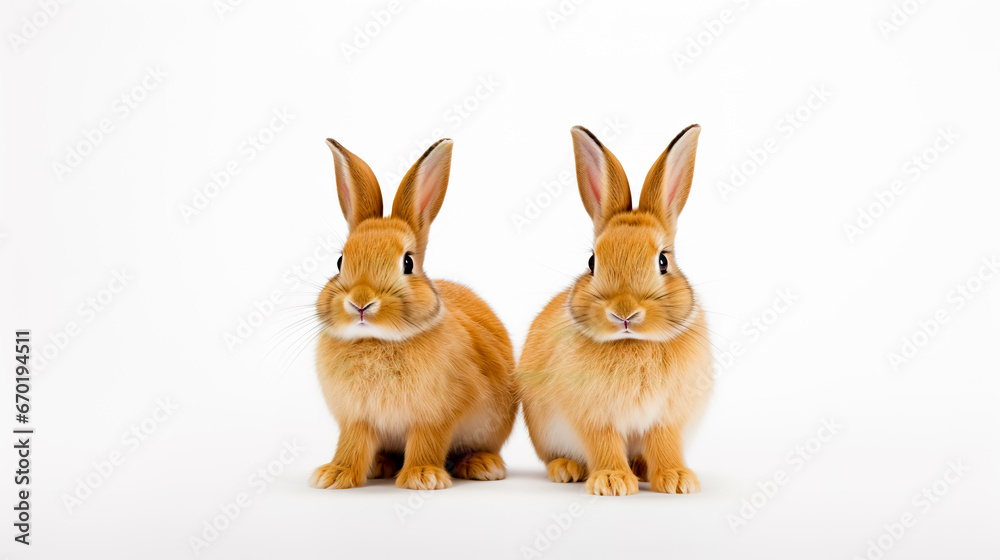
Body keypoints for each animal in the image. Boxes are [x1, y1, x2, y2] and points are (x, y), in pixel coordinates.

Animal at [309, 137, 517, 491]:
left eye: (407, 262)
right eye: (340, 261)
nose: (361, 302)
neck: (377, 340)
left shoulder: (435, 416)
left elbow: (426, 442)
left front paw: (423, 477)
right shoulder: (357, 418)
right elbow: (351, 444)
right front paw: (334, 475)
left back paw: (481, 465)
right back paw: (379, 464)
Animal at [515, 125, 713, 496]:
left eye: (663, 261)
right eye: (592, 262)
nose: (624, 312)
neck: (632, 343)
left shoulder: (666, 417)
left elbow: (664, 443)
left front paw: (677, 480)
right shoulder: (593, 417)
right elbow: (603, 444)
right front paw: (612, 482)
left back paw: (642, 470)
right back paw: (567, 469)